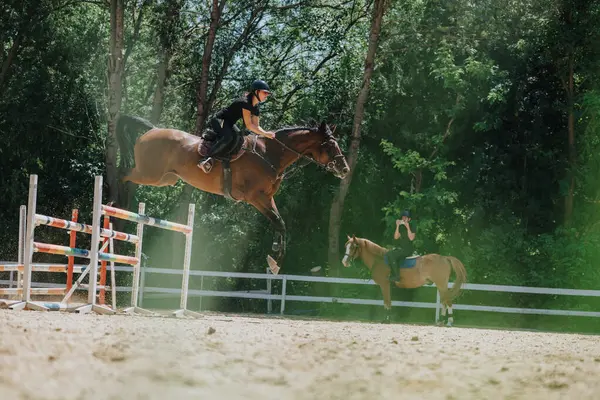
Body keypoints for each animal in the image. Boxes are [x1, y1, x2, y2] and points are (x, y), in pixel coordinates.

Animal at [115, 114, 350, 274]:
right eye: (330, 144)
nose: (345, 169)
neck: (270, 155)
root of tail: (152, 130)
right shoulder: (255, 197)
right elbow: (278, 222)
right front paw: (275, 262)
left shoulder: (267, 197)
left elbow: (280, 224)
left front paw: (275, 258)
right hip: (149, 174)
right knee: (122, 173)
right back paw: (112, 201)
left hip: (165, 179)